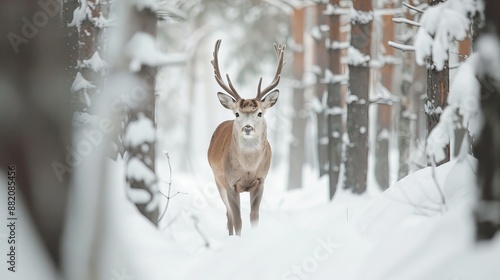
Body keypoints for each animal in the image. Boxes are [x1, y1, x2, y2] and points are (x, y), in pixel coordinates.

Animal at [207, 39, 286, 236]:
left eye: (259, 113)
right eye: (237, 113)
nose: (247, 127)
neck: (248, 168)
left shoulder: (261, 181)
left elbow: (254, 217)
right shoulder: (230, 183)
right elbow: (238, 220)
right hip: (217, 178)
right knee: (228, 214)